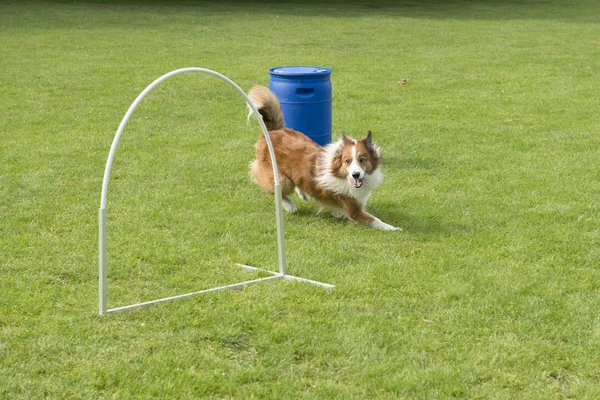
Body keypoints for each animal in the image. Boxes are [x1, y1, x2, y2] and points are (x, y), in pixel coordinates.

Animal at [248, 86, 404, 231]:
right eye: (347, 161)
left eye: (362, 159)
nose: (356, 174)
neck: (342, 175)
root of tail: (274, 130)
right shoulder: (352, 208)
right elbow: (375, 220)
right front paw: (394, 228)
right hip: (280, 178)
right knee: (275, 190)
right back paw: (290, 205)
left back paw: (303, 194)